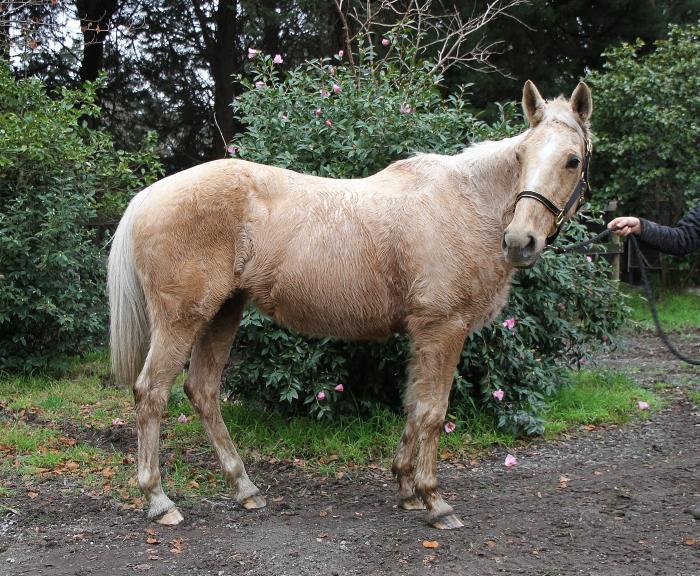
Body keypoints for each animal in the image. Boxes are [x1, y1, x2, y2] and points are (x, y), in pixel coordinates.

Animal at [108, 80, 593, 530]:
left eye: (572, 160)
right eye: (522, 157)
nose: (519, 242)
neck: (466, 204)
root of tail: (149, 195)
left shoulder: (422, 334)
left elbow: (413, 406)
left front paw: (406, 489)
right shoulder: (444, 329)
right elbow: (433, 412)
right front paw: (434, 501)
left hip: (223, 313)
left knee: (203, 391)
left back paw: (245, 488)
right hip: (181, 321)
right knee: (151, 393)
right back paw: (159, 500)